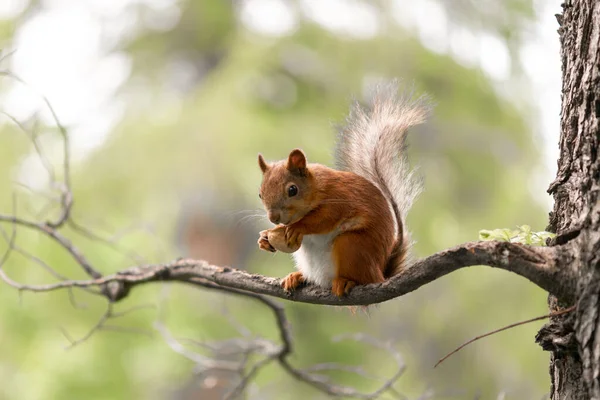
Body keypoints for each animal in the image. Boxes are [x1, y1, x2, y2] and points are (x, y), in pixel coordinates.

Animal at [255, 82, 428, 296]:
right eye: (260, 193)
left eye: (292, 190)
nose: (273, 218)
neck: (318, 187)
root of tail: (381, 274)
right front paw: (264, 238)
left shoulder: (340, 197)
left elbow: (324, 218)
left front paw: (297, 227)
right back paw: (297, 276)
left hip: (352, 245)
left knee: (360, 276)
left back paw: (346, 281)